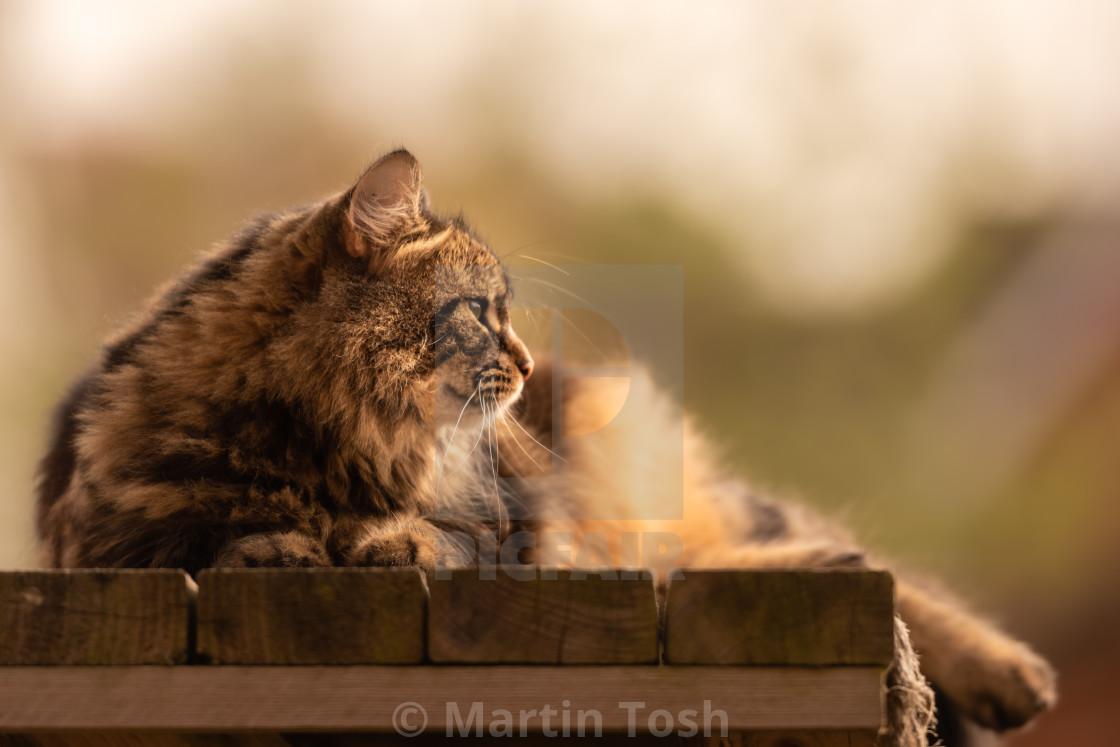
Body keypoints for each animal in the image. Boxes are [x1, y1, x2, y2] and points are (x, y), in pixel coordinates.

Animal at [39, 148, 1057, 743]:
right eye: (481, 312)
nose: (525, 363)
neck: (330, 446)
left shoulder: (508, 531)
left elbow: (434, 537)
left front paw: (382, 539)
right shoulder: (119, 539)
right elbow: (222, 535)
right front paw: (284, 542)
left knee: (843, 562)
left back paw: (1006, 669)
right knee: (704, 569)